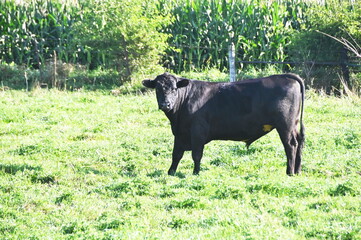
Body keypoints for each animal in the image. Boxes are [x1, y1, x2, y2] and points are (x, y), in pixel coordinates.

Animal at [141, 72, 304, 175]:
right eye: (157, 89)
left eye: (174, 89)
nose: (165, 104)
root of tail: (285, 76)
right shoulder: (180, 133)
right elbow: (176, 154)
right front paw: (171, 172)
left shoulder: (198, 132)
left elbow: (196, 155)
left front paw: (195, 173)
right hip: (294, 125)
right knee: (300, 143)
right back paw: (297, 171)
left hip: (285, 125)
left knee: (290, 145)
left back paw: (289, 172)